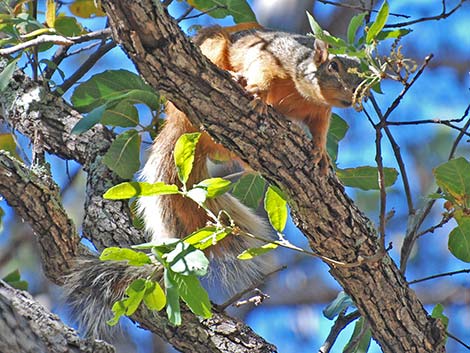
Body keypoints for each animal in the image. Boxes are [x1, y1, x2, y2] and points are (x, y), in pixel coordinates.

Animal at [64, 23, 362, 334]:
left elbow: (320, 131)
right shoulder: (272, 55)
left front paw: (321, 154)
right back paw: (232, 77)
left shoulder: (320, 113)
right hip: (211, 46)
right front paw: (257, 94)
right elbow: (262, 72)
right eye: (333, 66)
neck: (304, 93)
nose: (354, 96)